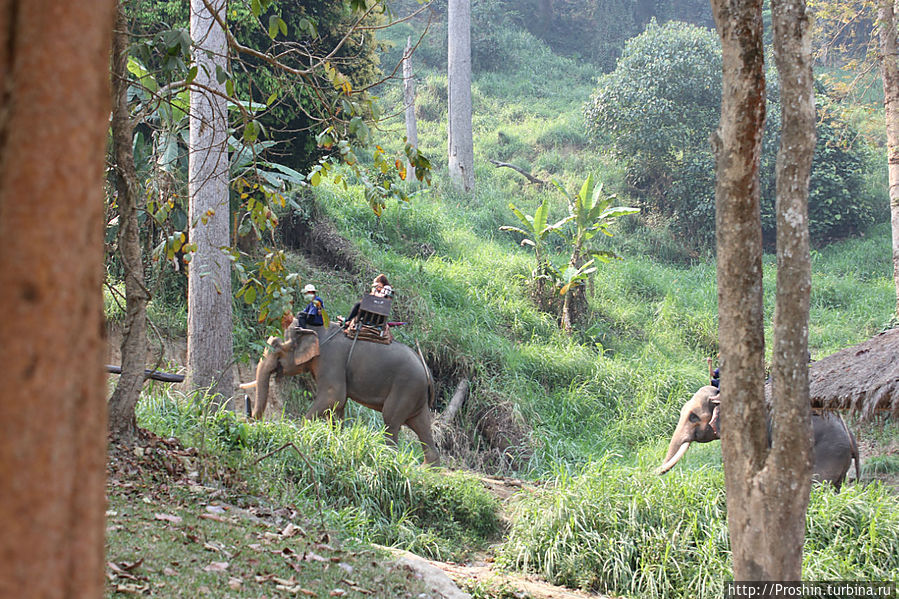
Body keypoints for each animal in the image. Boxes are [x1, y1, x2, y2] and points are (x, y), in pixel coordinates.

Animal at [237, 322, 438, 466]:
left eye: (277, 346)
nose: (251, 420)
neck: (316, 330)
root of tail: (428, 372)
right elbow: (338, 406)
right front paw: (335, 439)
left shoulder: (331, 360)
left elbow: (334, 396)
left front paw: (300, 433)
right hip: (416, 397)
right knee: (421, 427)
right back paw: (426, 470)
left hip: (406, 388)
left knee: (391, 422)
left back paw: (389, 458)